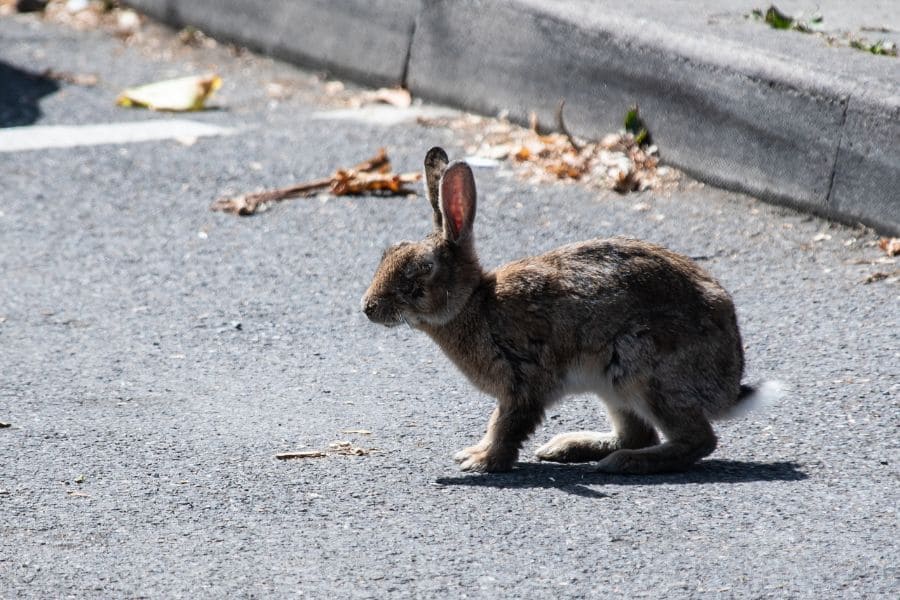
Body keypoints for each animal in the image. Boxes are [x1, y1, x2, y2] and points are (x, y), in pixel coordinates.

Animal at [360, 146, 780, 474]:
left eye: (421, 269)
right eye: (388, 253)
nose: (368, 308)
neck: (474, 303)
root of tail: (729, 384)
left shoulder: (523, 381)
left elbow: (506, 425)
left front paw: (480, 460)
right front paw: (477, 454)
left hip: (644, 372)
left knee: (697, 440)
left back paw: (625, 463)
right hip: (613, 385)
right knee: (638, 432)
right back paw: (568, 447)